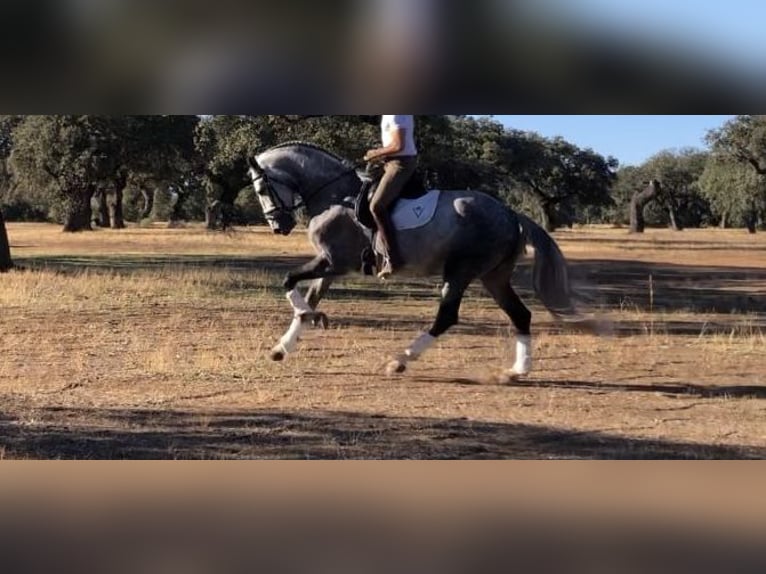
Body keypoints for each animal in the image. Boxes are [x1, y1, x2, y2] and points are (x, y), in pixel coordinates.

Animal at [249, 142, 592, 380]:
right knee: (520, 315)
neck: (335, 196)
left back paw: (399, 361)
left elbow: (289, 281)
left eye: (263, 187)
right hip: (493, 276)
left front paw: (310, 319)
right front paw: (283, 347)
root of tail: (510, 213)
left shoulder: (334, 262)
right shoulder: (329, 266)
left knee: (447, 317)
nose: (278, 226)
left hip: (460, 271)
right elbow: (307, 297)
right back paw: (517, 371)